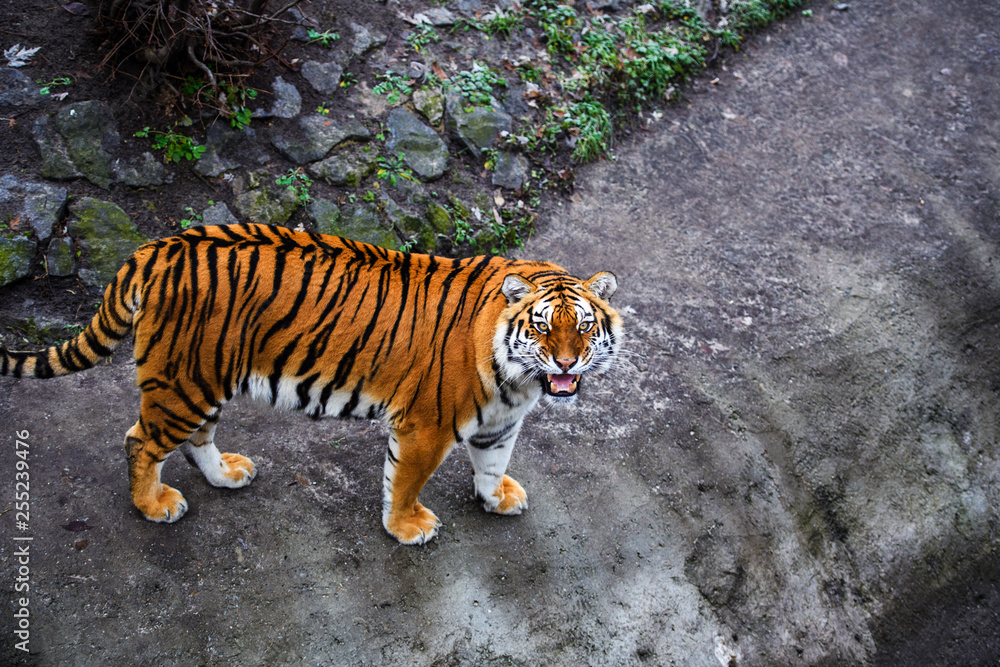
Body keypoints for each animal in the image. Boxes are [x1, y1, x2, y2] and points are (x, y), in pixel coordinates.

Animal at [0, 223, 623, 544]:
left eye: (583, 327)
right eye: (541, 327)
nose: (566, 365)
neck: (520, 381)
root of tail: (157, 248)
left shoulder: (499, 422)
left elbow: (492, 464)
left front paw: (497, 498)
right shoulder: (425, 425)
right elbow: (405, 481)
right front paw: (406, 527)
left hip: (205, 377)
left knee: (195, 438)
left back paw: (226, 474)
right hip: (182, 383)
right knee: (139, 441)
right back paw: (154, 506)